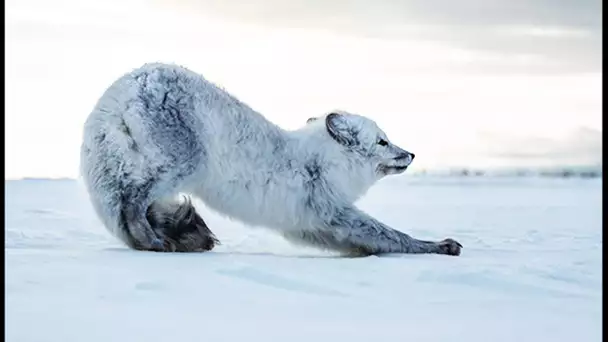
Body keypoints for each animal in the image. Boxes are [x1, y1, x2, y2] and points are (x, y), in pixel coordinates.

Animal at [79, 63, 460, 256]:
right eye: (383, 141)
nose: (411, 154)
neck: (323, 162)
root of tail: (126, 86)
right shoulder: (332, 210)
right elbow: (391, 235)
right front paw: (438, 246)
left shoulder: (307, 223)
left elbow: (367, 242)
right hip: (180, 165)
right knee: (132, 200)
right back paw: (152, 239)